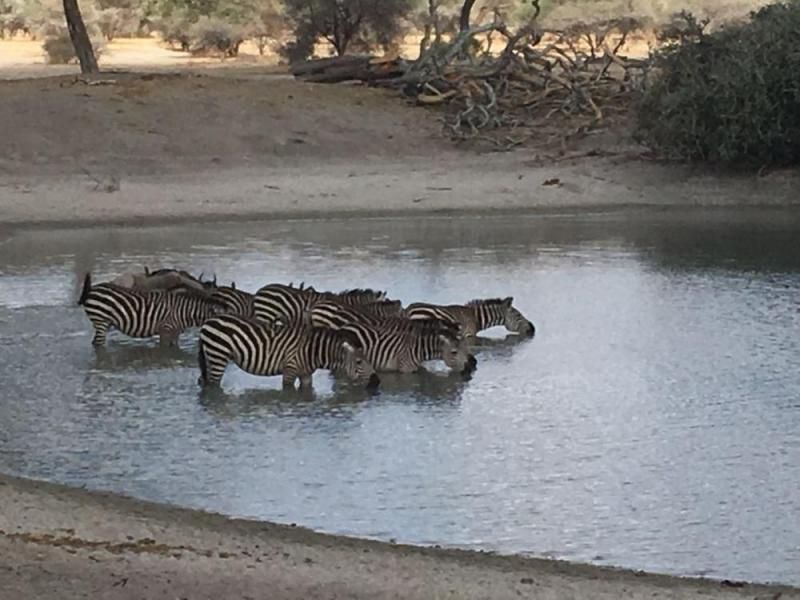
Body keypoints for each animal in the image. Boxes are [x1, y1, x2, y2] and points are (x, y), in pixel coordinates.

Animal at [77, 273, 229, 347]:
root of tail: (92, 289)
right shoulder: (165, 330)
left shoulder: (175, 333)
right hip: (101, 320)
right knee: (98, 344)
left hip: (104, 322)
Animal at [197, 315, 380, 390]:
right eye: (359, 361)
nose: (376, 382)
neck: (313, 350)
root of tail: (208, 321)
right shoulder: (289, 371)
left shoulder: (306, 374)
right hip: (218, 355)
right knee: (213, 385)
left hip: (211, 357)